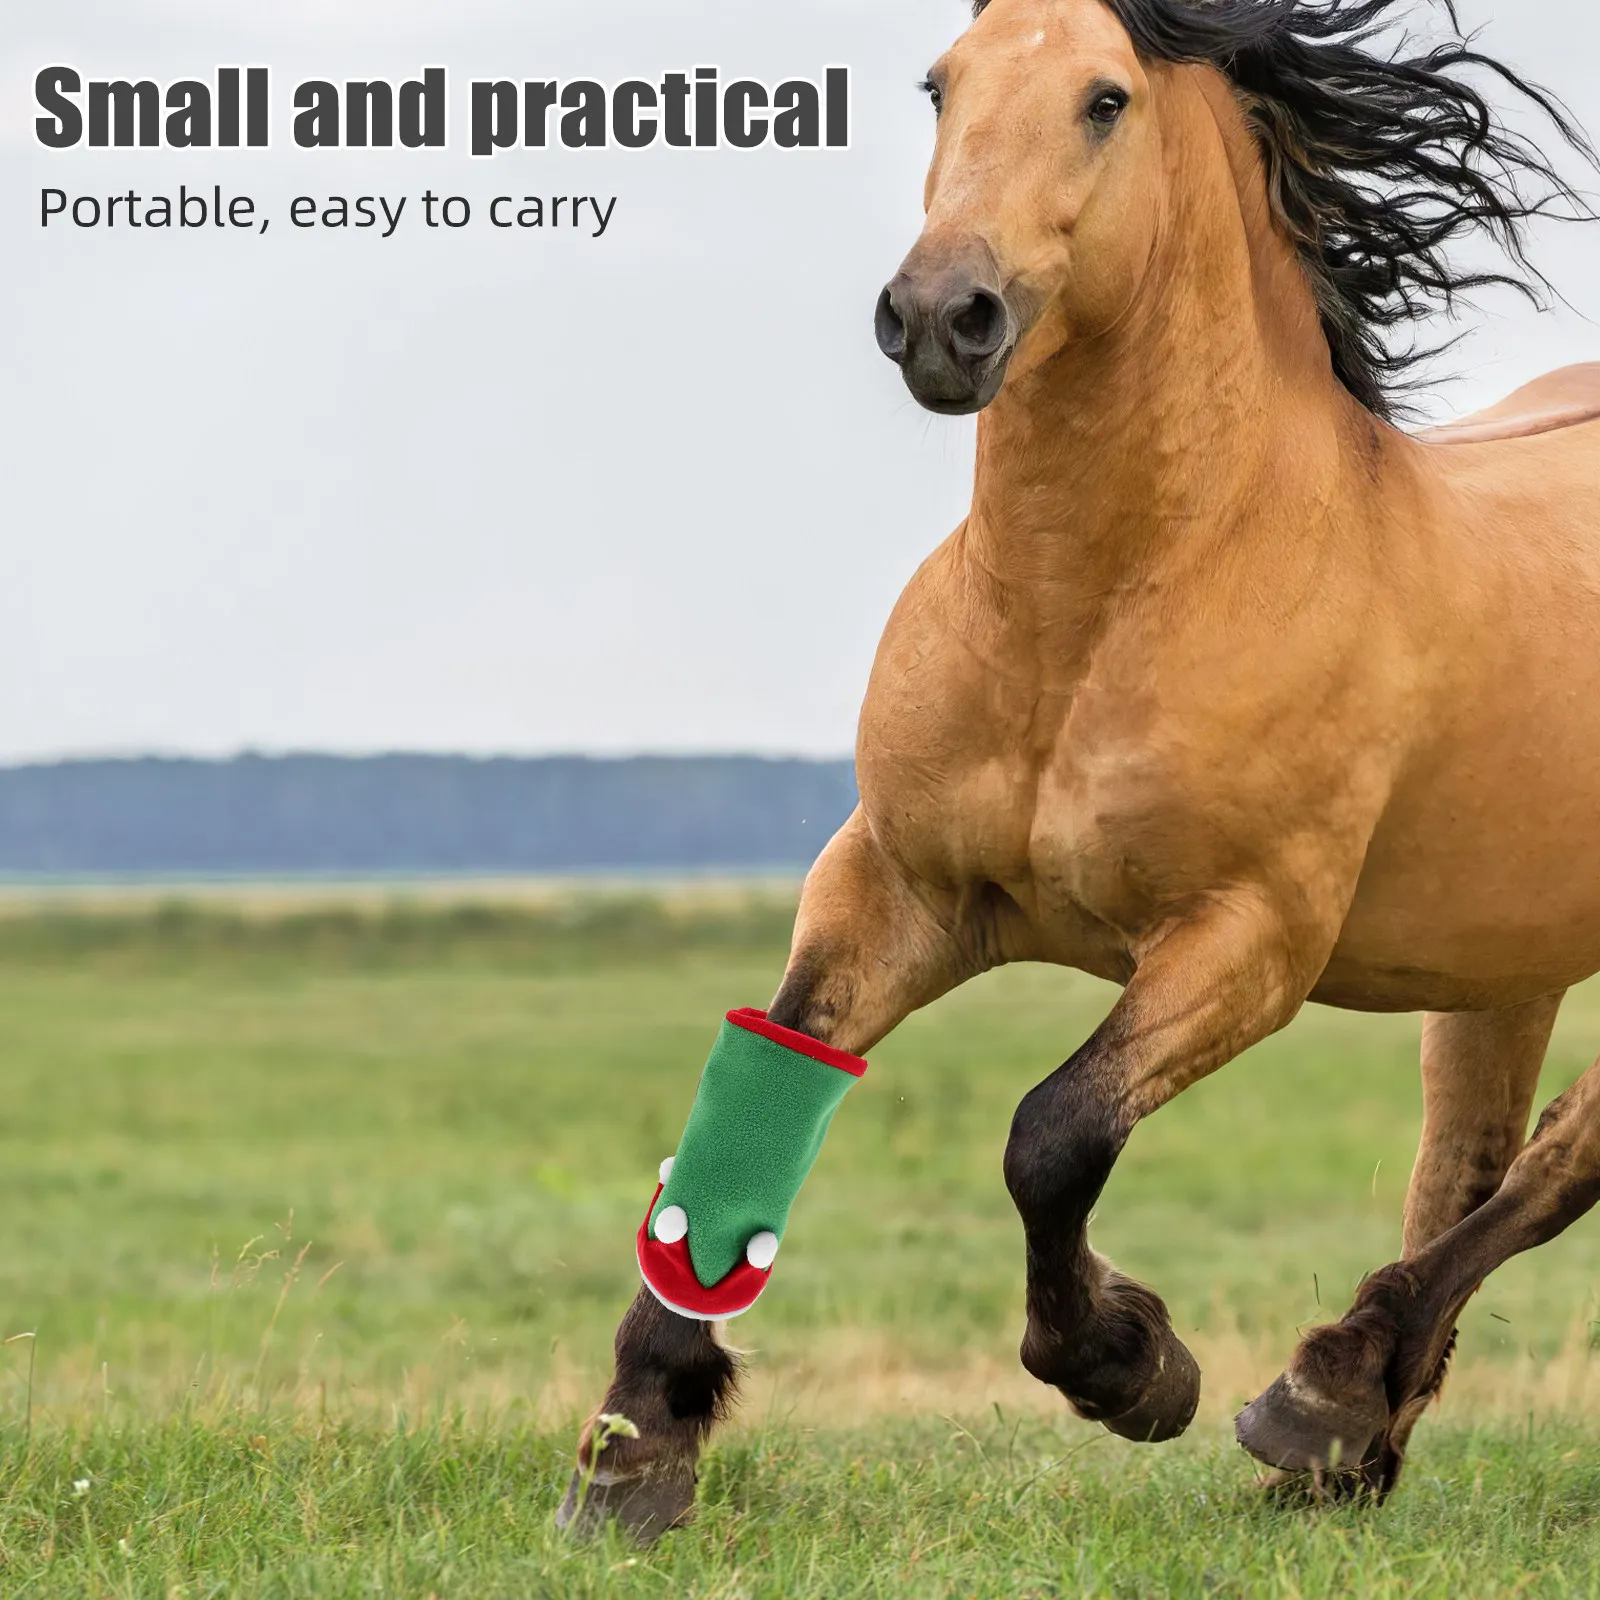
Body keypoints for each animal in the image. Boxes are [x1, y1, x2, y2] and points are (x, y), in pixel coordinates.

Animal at [565, 0, 1600, 1535]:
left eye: (1106, 99)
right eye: (939, 84)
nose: (943, 316)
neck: (1094, 607)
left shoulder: (1248, 939)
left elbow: (1051, 1135)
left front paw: (1132, 1366)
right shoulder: (893, 886)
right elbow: (758, 1083)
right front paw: (637, 1446)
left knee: (1559, 1157)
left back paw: (1320, 1395)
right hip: (1501, 957)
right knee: (1468, 1159)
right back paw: (1352, 1443)